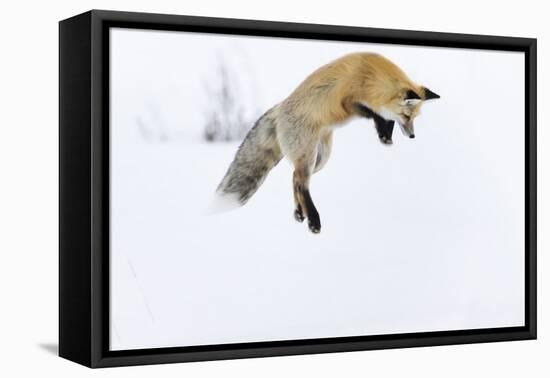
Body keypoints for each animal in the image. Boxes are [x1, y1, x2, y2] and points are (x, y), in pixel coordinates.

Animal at [215, 51, 440, 233]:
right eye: (407, 116)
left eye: (414, 118)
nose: (412, 136)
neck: (369, 76)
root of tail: (279, 109)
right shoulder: (348, 102)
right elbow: (373, 113)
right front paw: (383, 131)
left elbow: (384, 116)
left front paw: (386, 135)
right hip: (308, 156)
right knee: (301, 183)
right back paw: (313, 220)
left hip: (320, 158)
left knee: (295, 178)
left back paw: (299, 212)